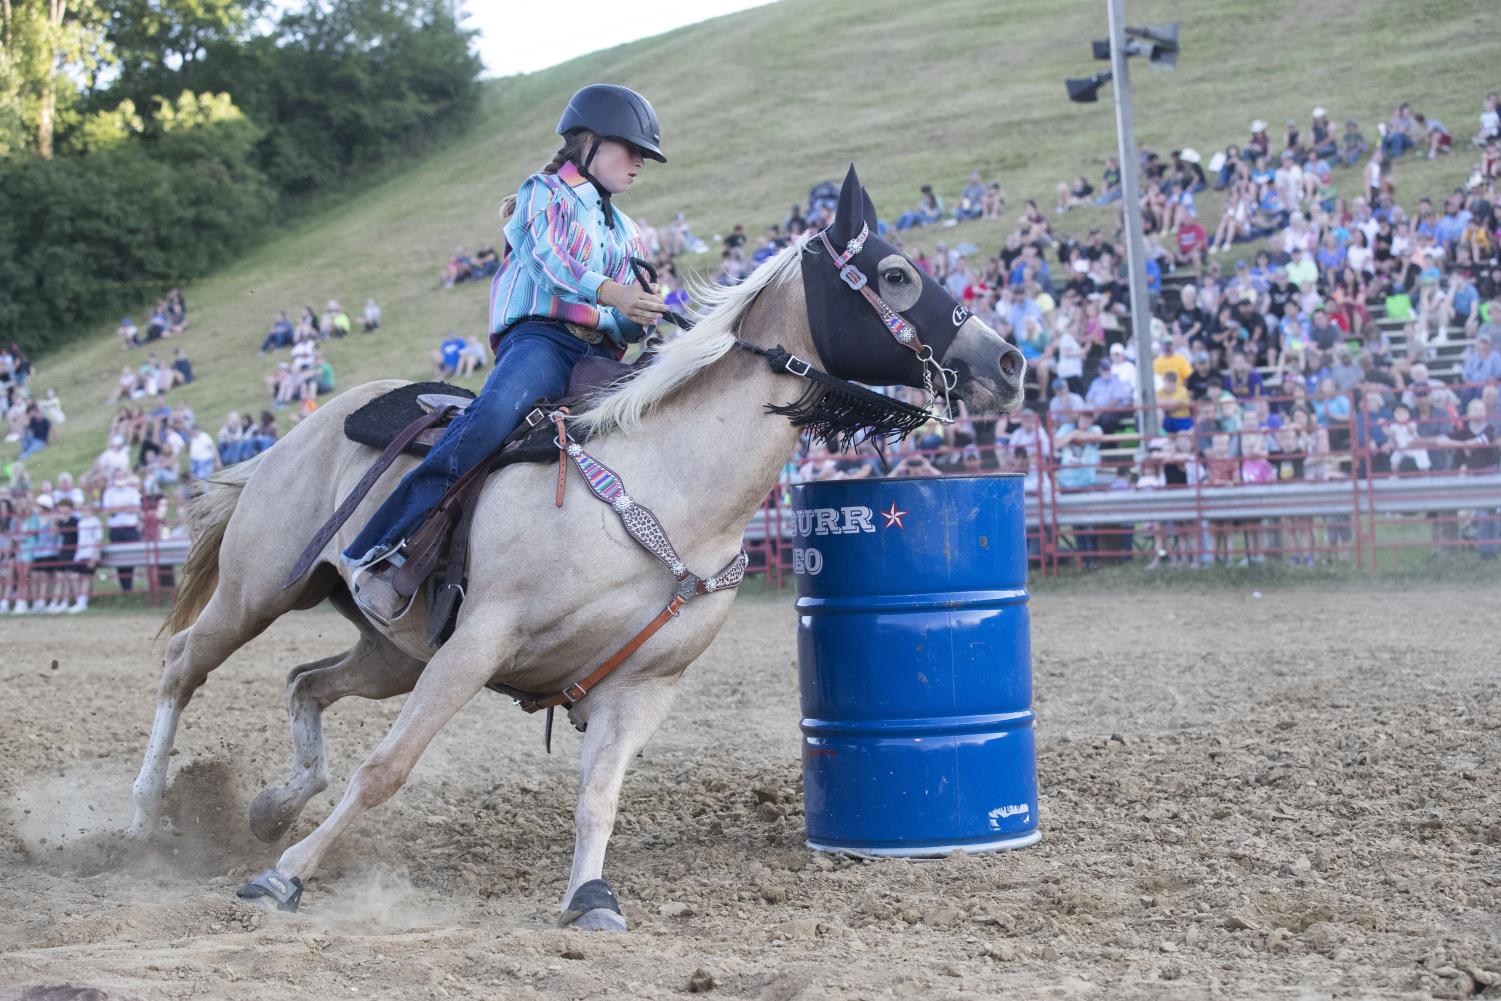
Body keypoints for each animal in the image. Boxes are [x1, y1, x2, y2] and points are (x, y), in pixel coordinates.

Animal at [129, 166, 1026, 930]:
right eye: (896, 274)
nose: (1011, 360)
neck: (670, 483)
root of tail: (295, 431)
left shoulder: (642, 685)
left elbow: (598, 798)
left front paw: (590, 897)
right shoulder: (480, 641)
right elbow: (385, 767)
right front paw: (285, 876)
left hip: (395, 653)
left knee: (304, 682)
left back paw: (269, 807)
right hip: (260, 591)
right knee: (181, 663)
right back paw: (142, 816)